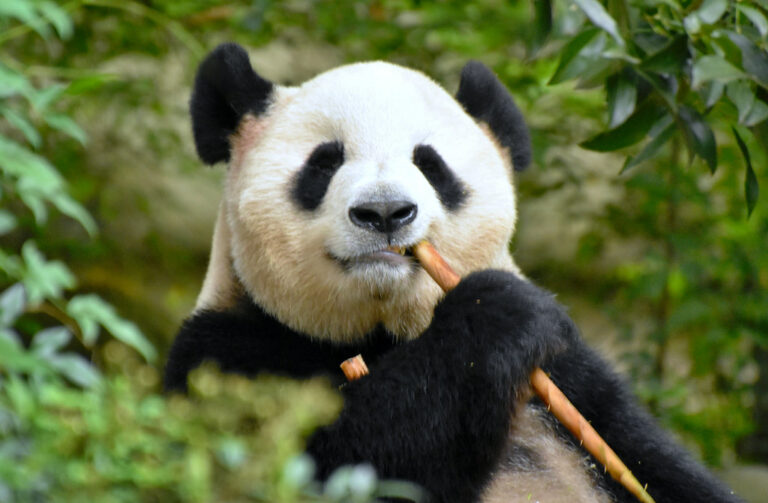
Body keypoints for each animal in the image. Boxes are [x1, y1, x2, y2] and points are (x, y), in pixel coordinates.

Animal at [164, 43, 741, 503]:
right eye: (324, 162)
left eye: (430, 164)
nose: (385, 213)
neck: (381, 333)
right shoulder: (225, 353)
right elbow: (342, 460)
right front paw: (496, 314)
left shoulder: (577, 379)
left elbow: (661, 466)